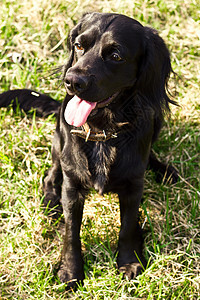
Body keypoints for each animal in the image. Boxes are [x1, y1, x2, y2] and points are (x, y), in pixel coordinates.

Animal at [0, 12, 177, 290]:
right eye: (79, 46)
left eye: (115, 55)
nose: (72, 80)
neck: (102, 131)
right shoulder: (72, 186)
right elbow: (71, 232)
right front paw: (70, 270)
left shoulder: (134, 184)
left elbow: (127, 225)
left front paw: (129, 260)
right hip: (60, 138)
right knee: (51, 173)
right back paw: (50, 200)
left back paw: (164, 170)